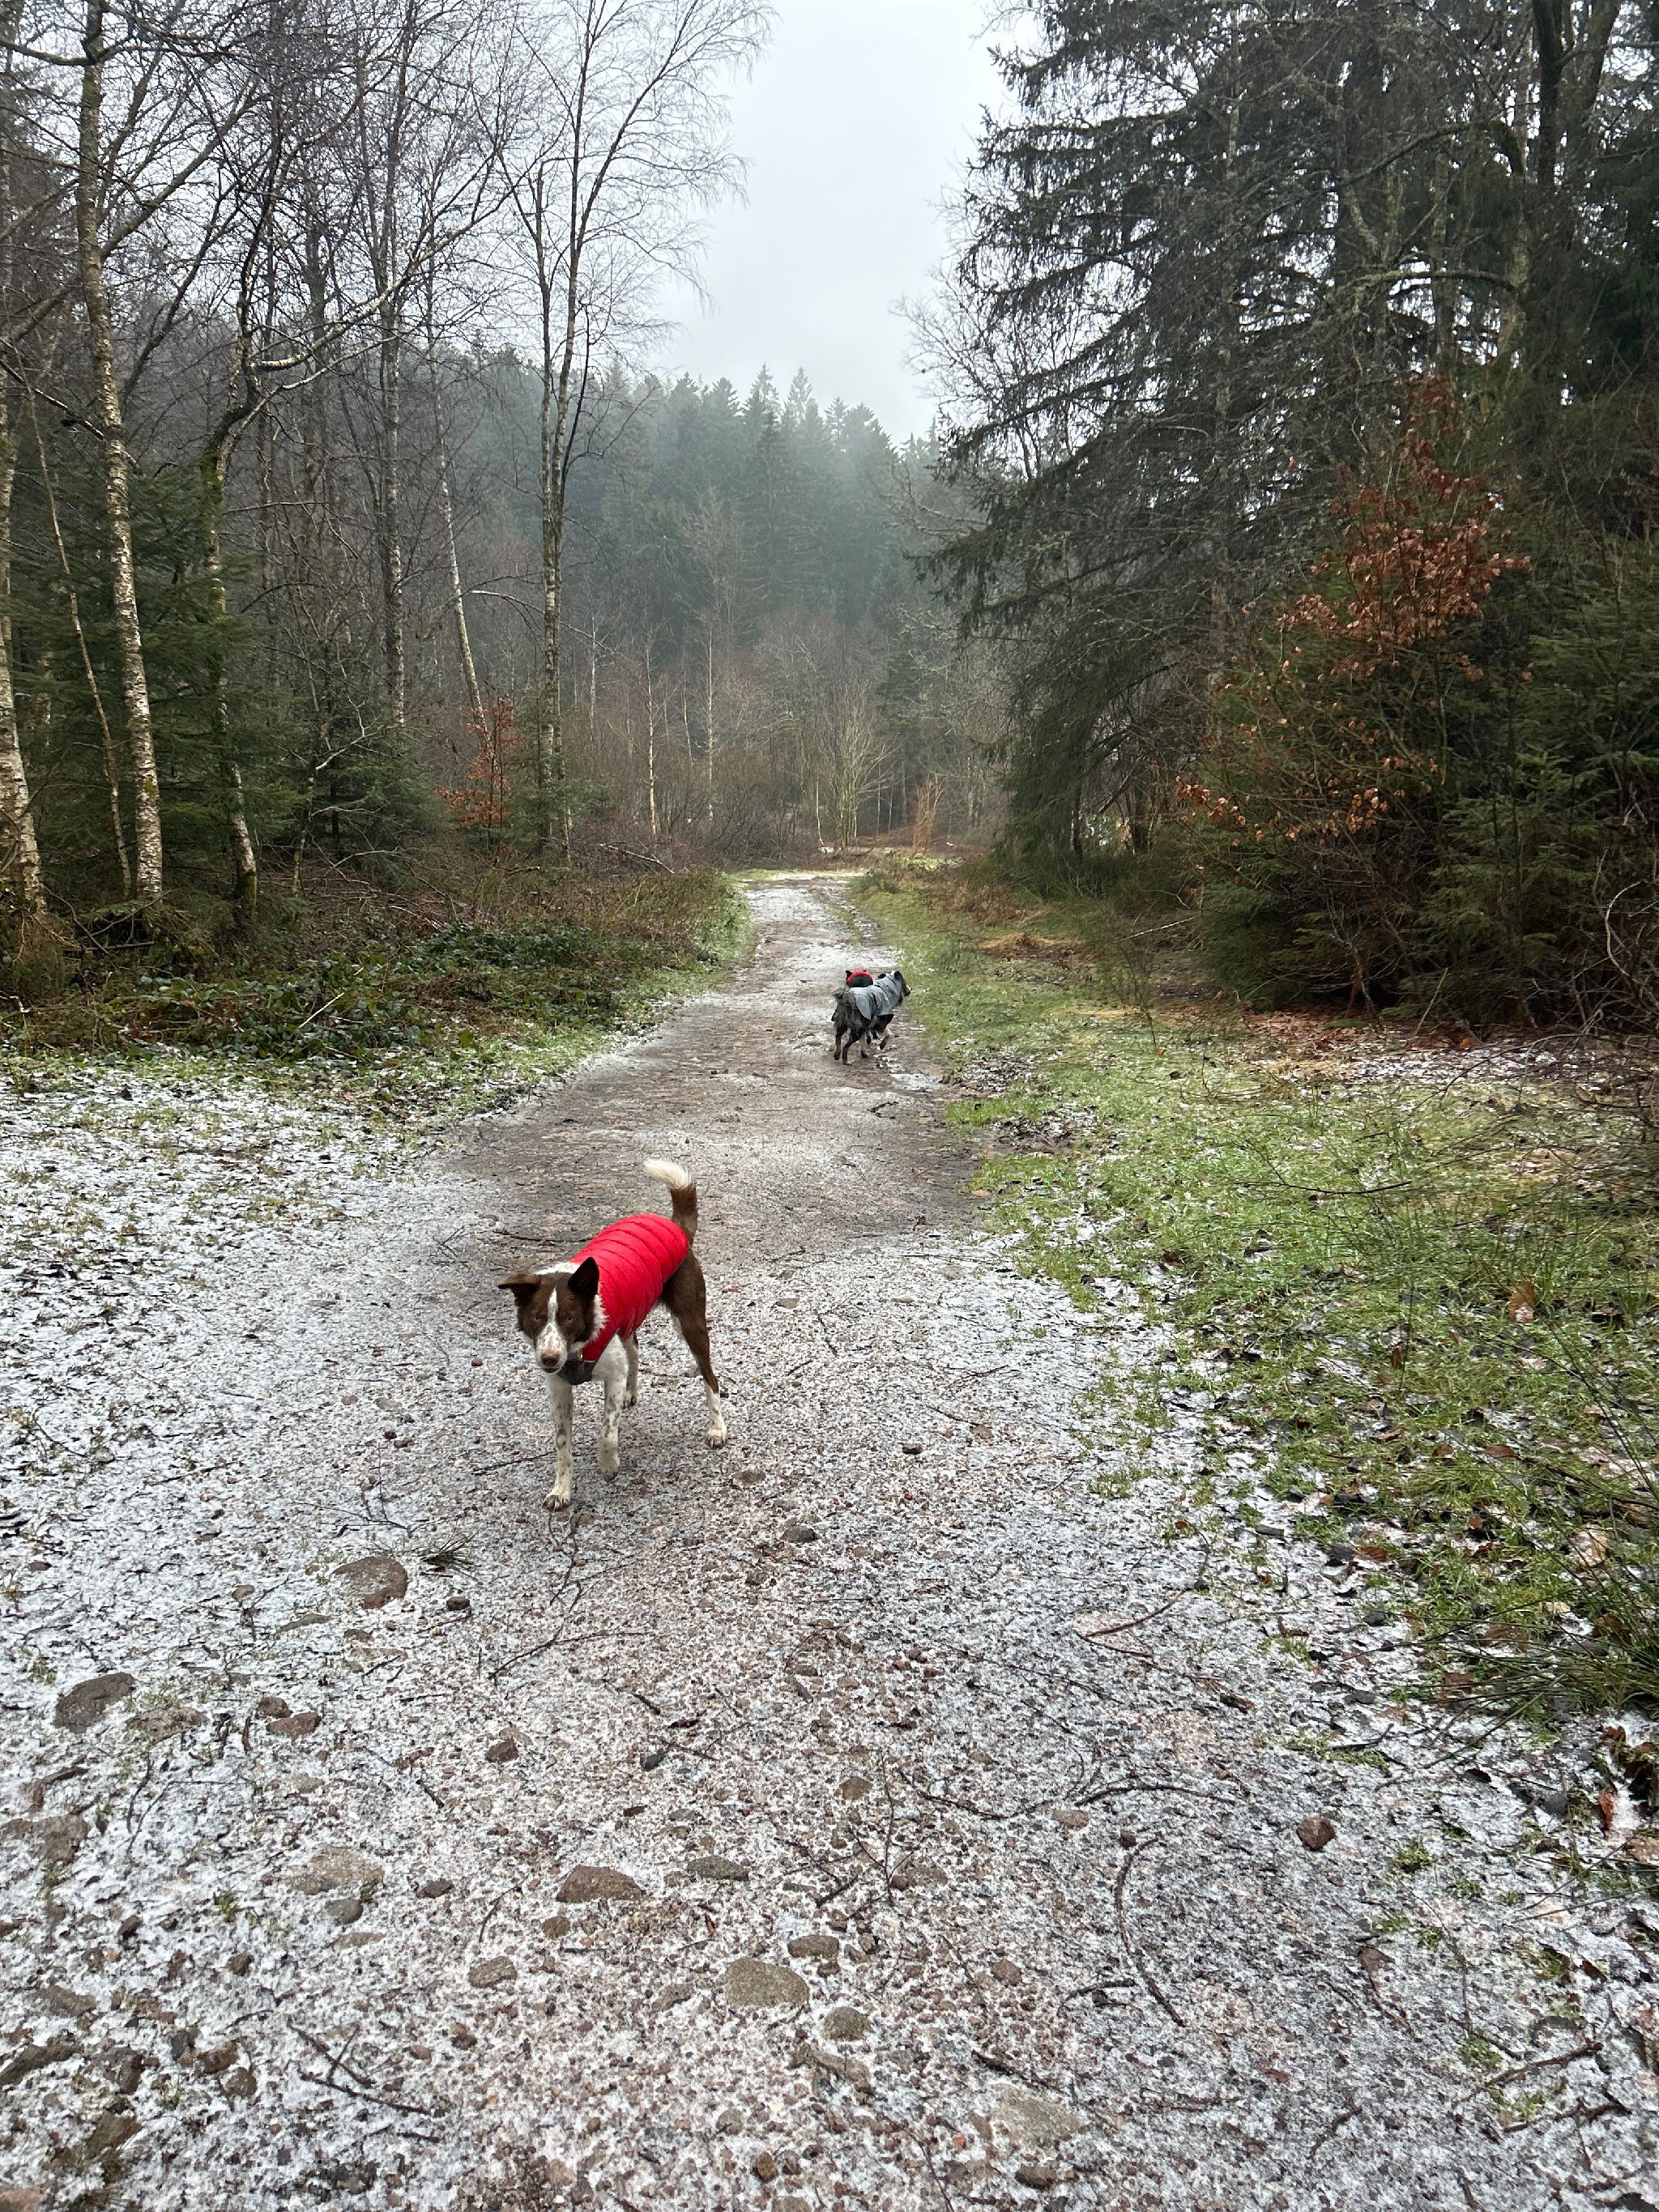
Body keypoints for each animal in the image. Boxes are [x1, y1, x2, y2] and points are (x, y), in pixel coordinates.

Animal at [499, 1159, 725, 1509]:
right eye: (537, 1318)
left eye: (569, 1317)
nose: (548, 1358)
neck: (578, 1349)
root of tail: (675, 1227)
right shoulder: (559, 1390)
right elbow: (562, 1447)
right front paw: (561, 1490)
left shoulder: (611, 1378)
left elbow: (607, 1432)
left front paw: (608, 1465)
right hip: (631, 1320)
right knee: (635, 1349)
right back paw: (634, 1391)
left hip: (691, 1324)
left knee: (710, 1378)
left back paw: (718, 1428)